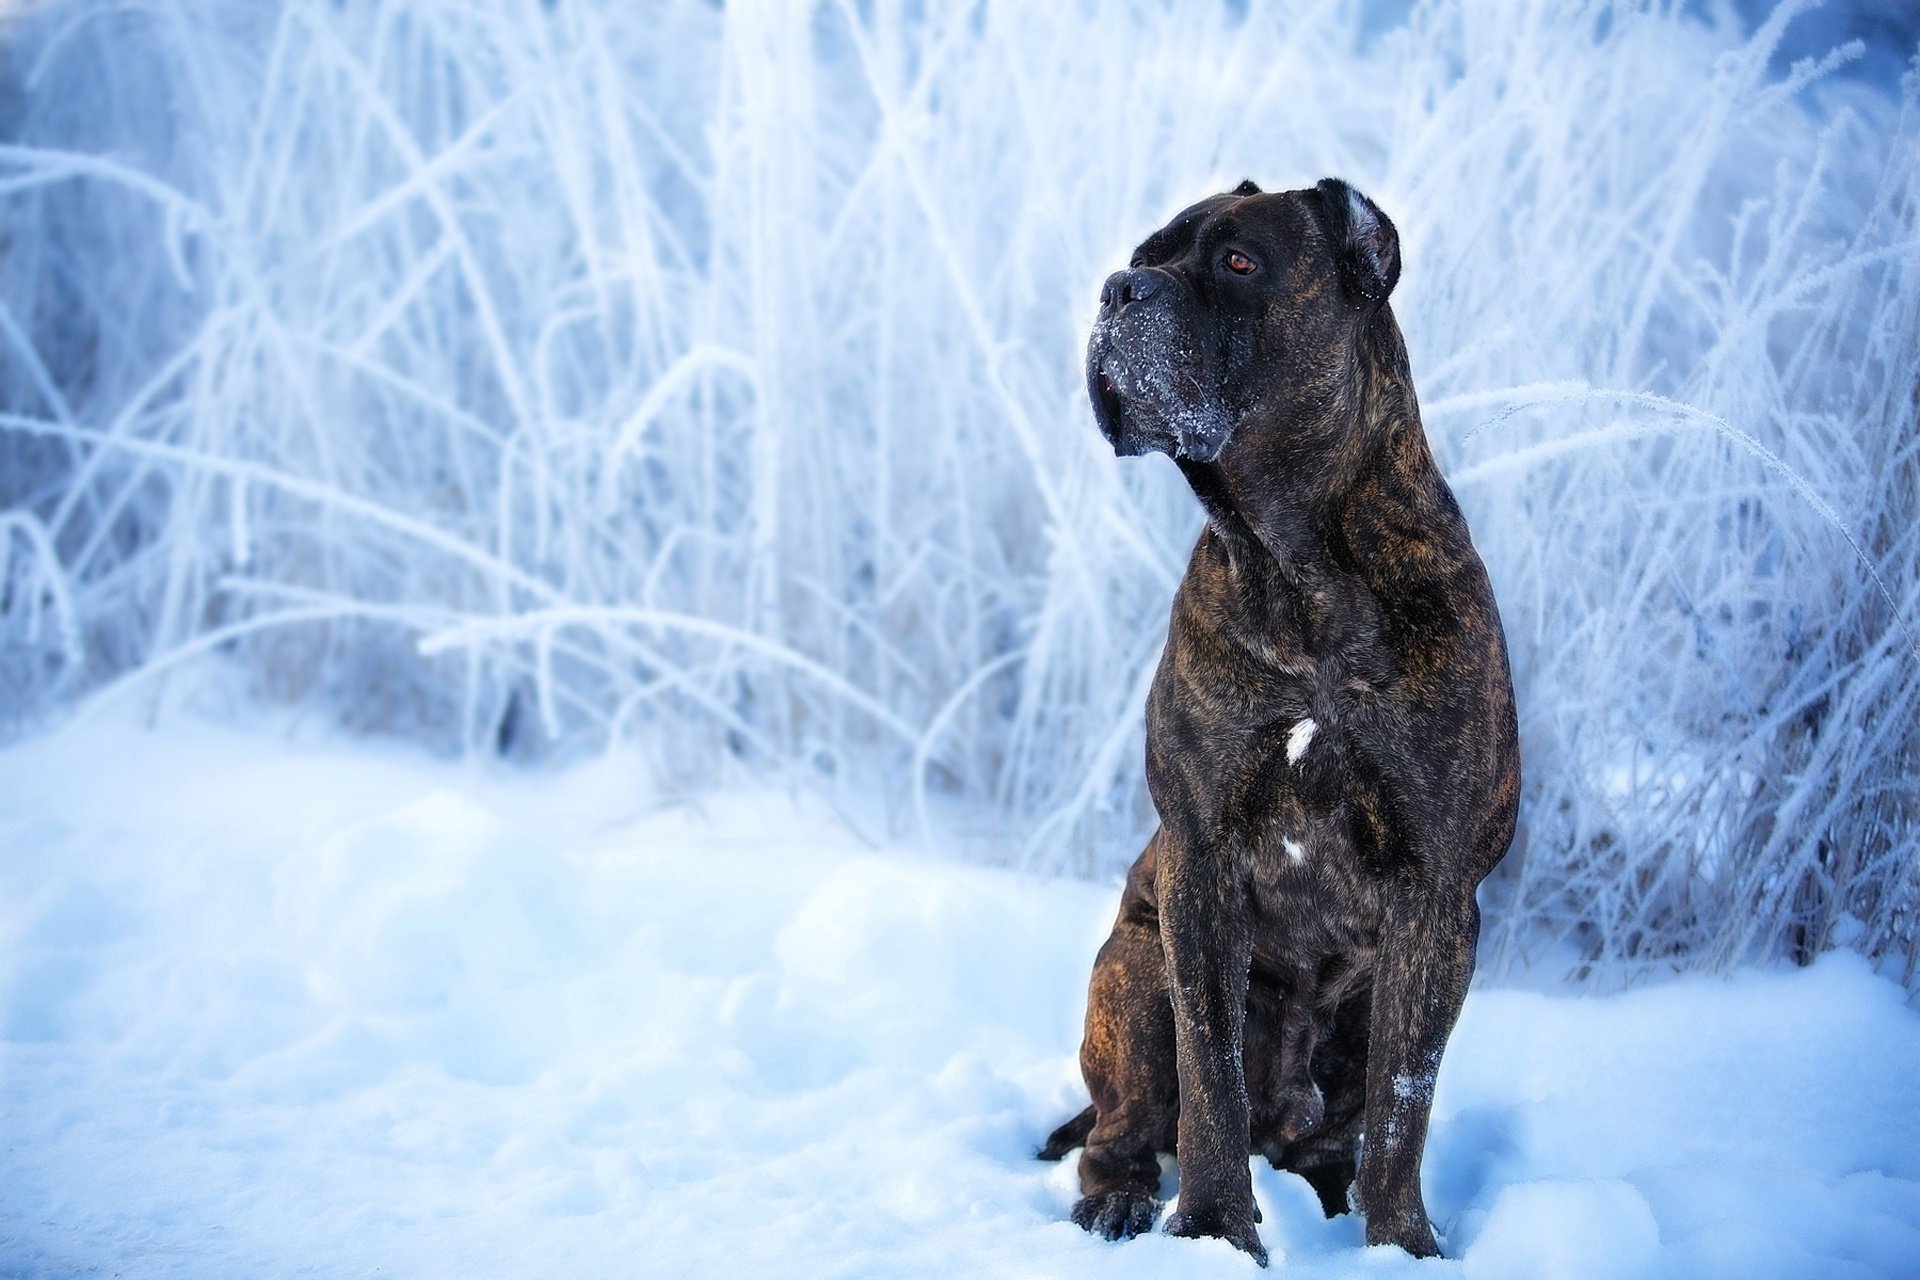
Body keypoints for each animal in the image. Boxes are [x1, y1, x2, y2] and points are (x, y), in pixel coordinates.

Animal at [1044, 175, 1520, 1266]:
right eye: (1146, 254)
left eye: (1238, 262)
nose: (1119, 287)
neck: (1295, 558)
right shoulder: (1203, 863)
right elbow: (1209, 1078)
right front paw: (1215, 1234)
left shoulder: (1437, 894)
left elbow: (1404, 1101)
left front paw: (1406, 1248)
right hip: (1132, 970)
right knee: (1126, 1127)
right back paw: (1119, 1201)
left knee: (1344, 1132)